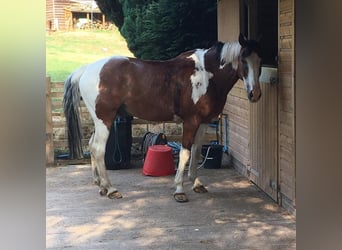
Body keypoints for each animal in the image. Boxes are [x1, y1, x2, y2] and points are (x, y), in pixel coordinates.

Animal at [64, 33, 262, 202]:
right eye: (243, 60)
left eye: (260, 60)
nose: (255, 94)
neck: (206, 74)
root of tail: (87, 69)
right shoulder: (191, 122)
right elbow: (185, 153)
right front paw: (179, 190)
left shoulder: (203, 123)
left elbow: (197, 151)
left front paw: (196, 183)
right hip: (104, 120)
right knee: (98, 149)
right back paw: (111, 189)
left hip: (99, 122)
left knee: (91, 146)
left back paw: (100, 185)